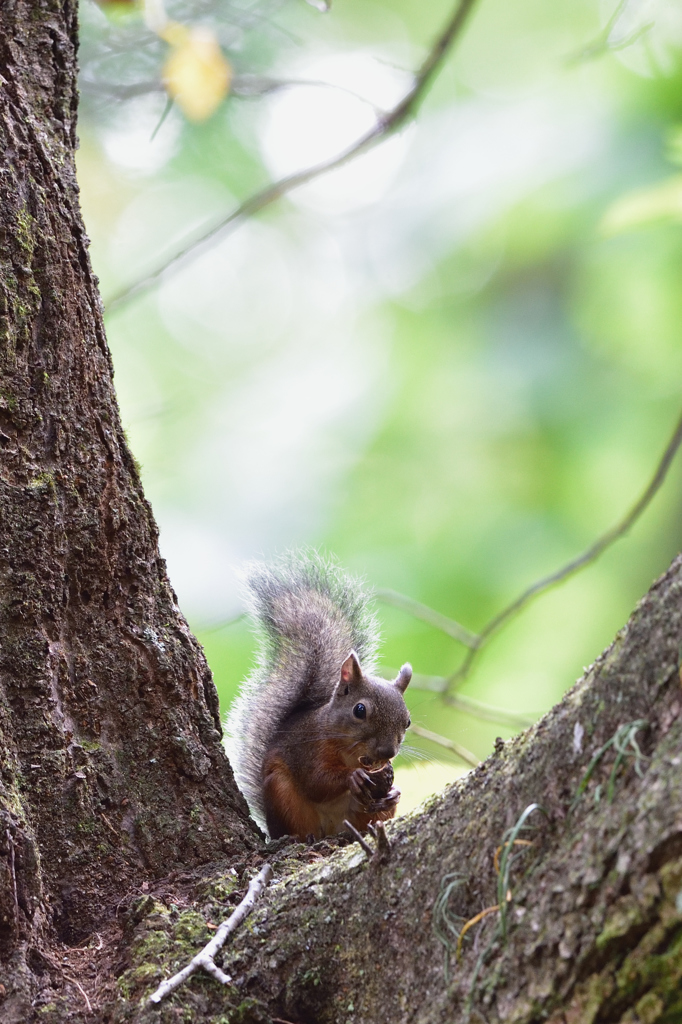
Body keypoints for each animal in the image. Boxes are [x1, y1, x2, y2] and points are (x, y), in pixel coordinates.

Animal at [225, 552, 411, 839]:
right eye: (359, 710)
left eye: (408, 721)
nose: (387, 752)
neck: (350, 751)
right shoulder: (307, 750)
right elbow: (316, 782)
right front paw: (353, 777)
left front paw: (394, 791)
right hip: (282, 794)